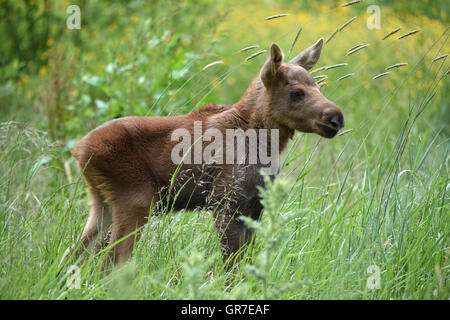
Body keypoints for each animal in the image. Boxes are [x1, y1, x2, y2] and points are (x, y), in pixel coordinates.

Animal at [69, 38, 344, 268]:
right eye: (296, 93)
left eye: (318, 87)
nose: (336, 118)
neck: (266, 145)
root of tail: (78, 150)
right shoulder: (226, 202)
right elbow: (231, 266)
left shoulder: (256, 206)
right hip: (136, 198)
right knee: (113, 261)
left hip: (102, 201)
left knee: (78, 254)